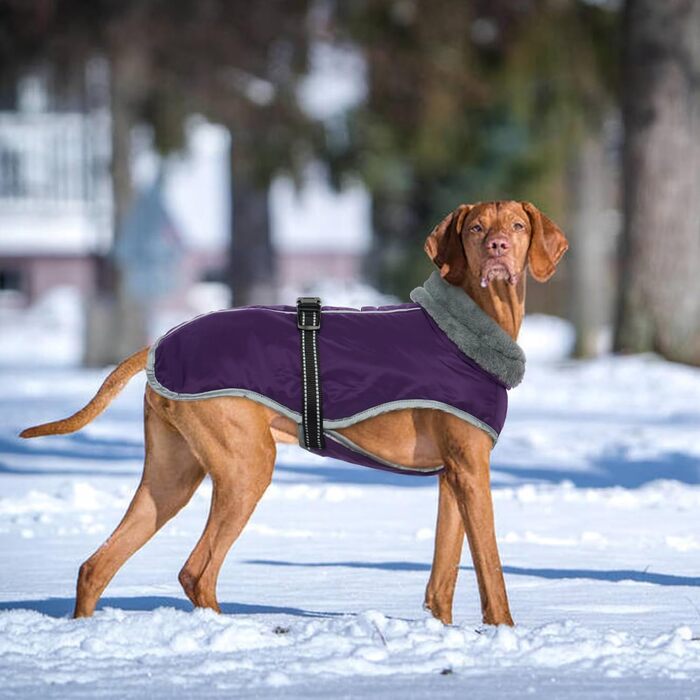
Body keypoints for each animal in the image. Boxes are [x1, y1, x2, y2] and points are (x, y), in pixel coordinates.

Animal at [21, 200, 568, 628]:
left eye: (517, 226)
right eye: (475, 228)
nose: (498, 248)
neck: (472, 328)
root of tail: (159, 343)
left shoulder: (453, 475)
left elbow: (443, 577)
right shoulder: (473, 472)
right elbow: (491, 569)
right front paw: (506, 635)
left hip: (170, 477)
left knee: (96, 566)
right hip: (247, 466)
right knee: (196, 570)